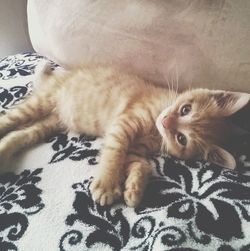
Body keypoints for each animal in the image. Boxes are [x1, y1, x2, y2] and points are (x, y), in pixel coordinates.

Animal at [0, 61, 248, 207]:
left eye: (181, 138)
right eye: (185, 109)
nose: (166, 121)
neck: (155, 131)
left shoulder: (137, 149)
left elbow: (140, 163)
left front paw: (134, 188)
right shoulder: (124, 123)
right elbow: (115, 152)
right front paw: (107, 185)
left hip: (51, 122)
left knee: (24, 134)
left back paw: (5, 150)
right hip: (39, 103)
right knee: (9, 119)